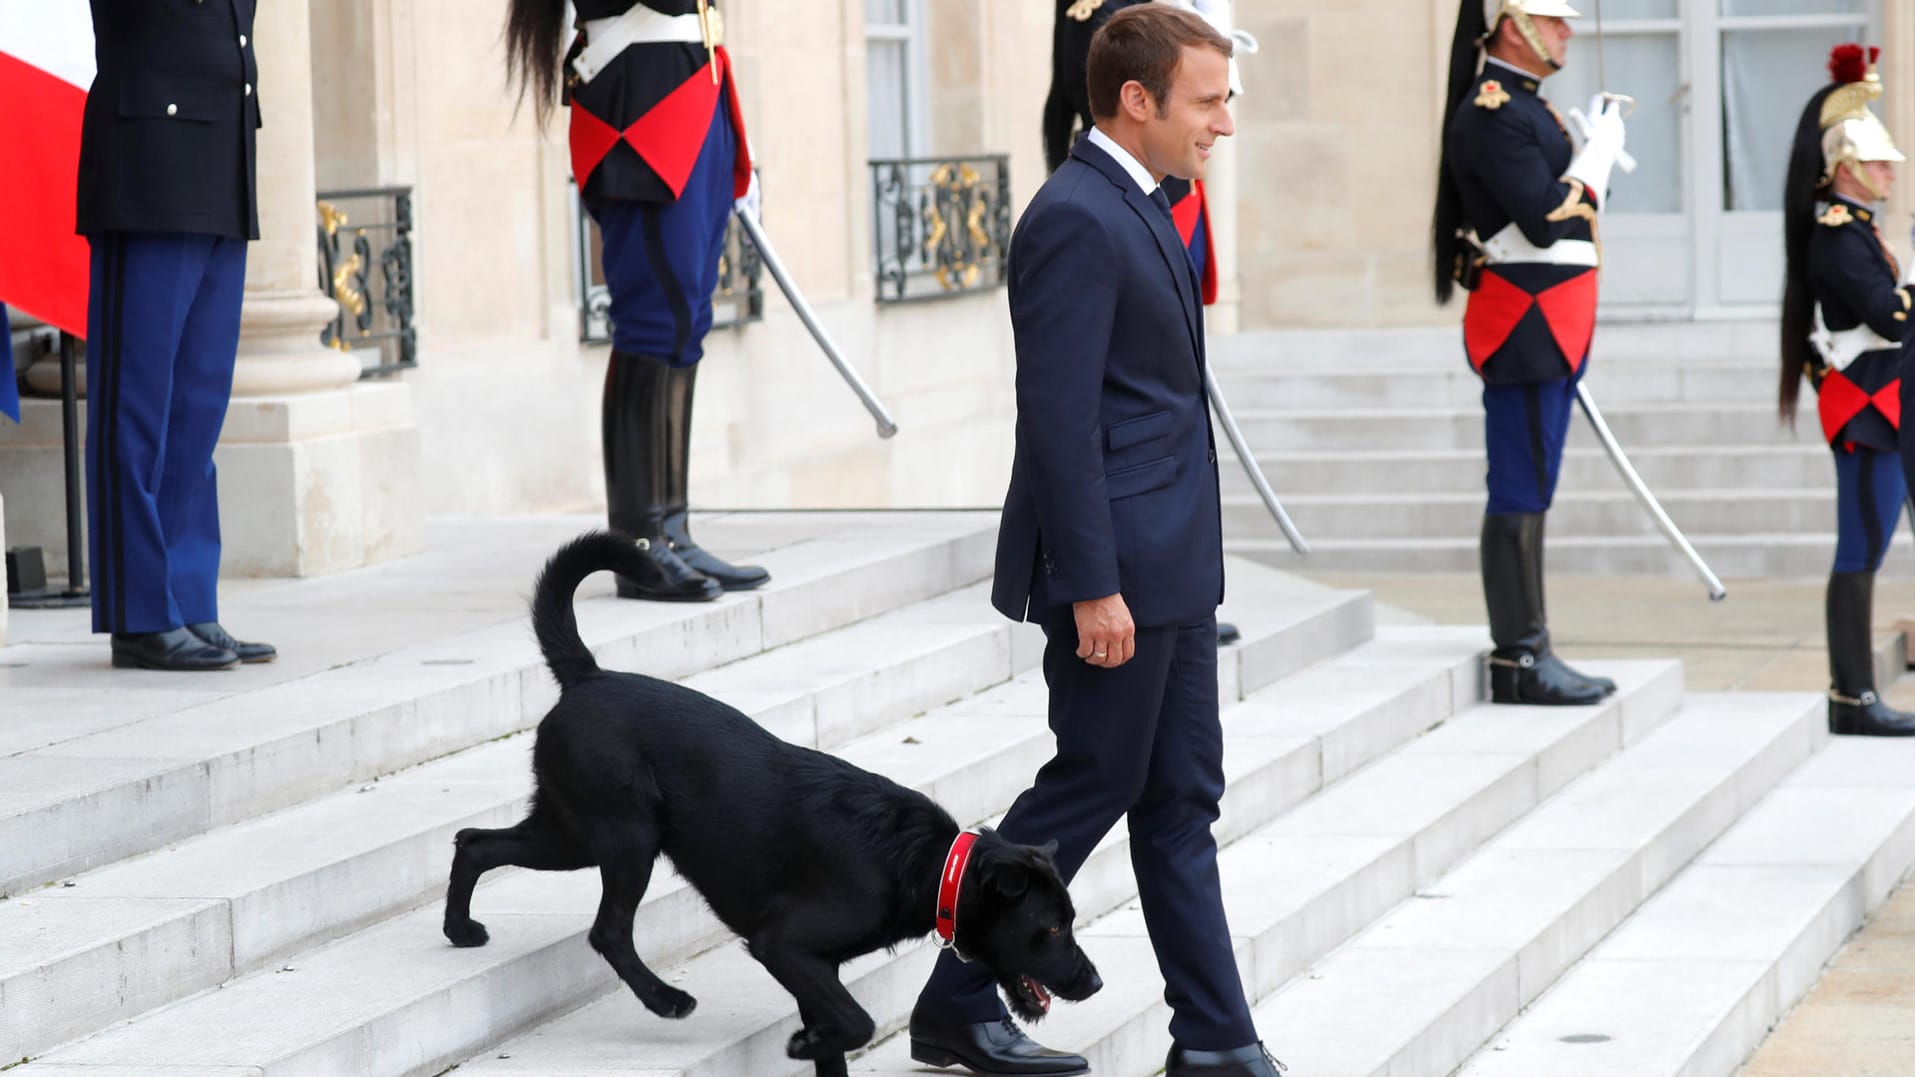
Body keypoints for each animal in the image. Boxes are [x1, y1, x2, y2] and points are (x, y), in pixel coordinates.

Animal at [446, 532, 1103, 1065]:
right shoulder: (784, 946)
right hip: (623, 836)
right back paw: (664, 1000)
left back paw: (460, 930)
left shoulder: (815, 967)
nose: (1094, 984)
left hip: (570, 832)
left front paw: (813, 1043)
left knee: (474, 841)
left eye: (1069, 921)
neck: (930, 862)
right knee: (606, 931)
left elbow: (838, 1040)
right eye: (1049, 928)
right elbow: (857, 1023)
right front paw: (801, 1043)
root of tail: (588, 675)